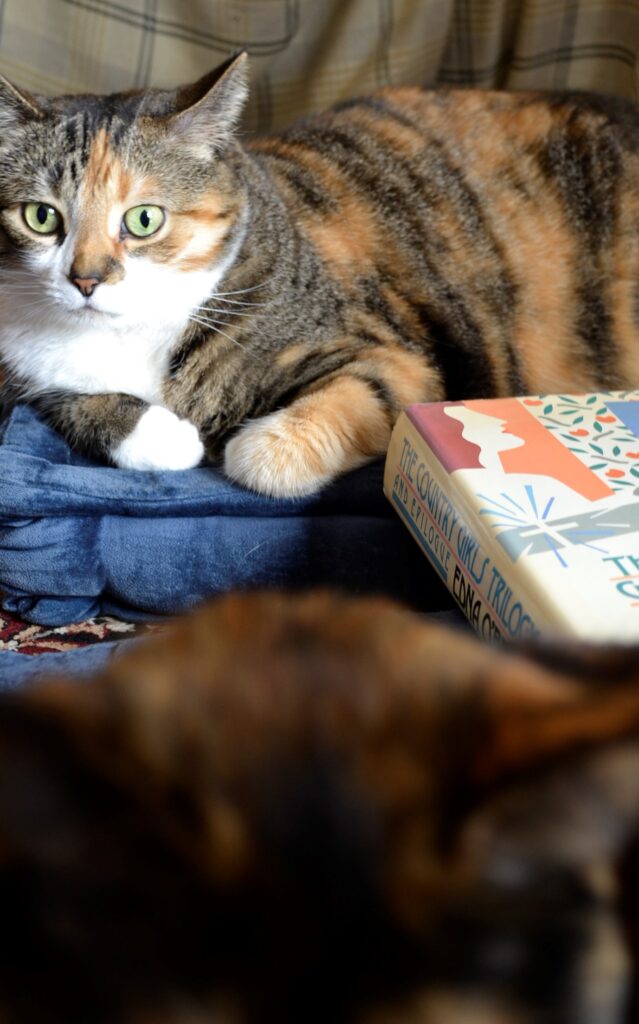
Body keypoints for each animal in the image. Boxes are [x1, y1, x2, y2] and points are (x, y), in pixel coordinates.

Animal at [0, 55, 634, 495]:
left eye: (144, 219)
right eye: (41, 217)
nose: (86, 279)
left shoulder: (397, 359)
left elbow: (346, 404)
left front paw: (246, 449)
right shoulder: (28, 369)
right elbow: (71, 401)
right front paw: (165, 437)